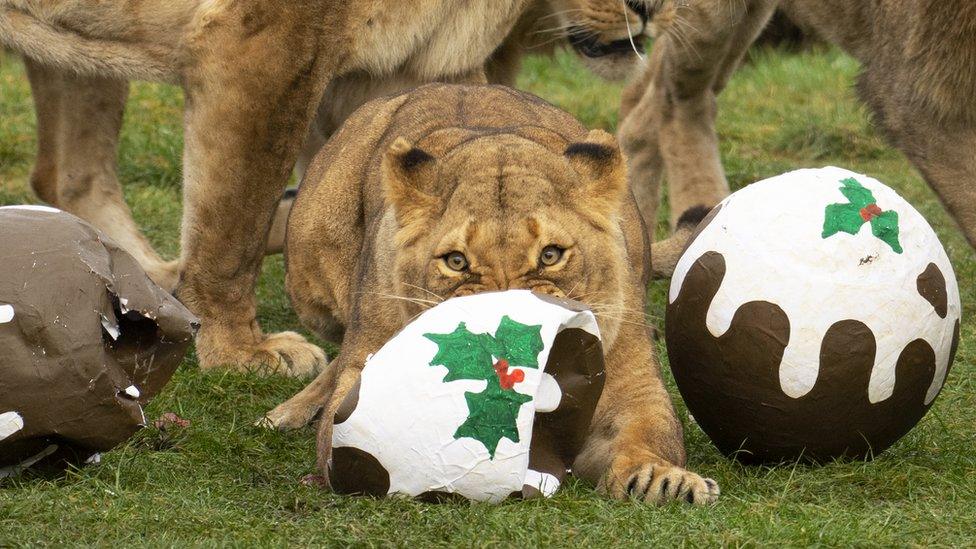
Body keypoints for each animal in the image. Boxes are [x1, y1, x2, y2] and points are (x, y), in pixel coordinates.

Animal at [0, 0, 672, 374]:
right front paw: (237, 350)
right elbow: (234, 221)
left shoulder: (395, 70)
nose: (652, 6)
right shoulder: (261, 40)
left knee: (70, 174)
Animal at [260, 81, 716, 506]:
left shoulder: (634, 385)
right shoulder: (365, 356)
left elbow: (649, 435)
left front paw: (661, 480)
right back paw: (287, 411)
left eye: (550, 255)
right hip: (309, 270)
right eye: (456, 261)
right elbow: (350, 407)